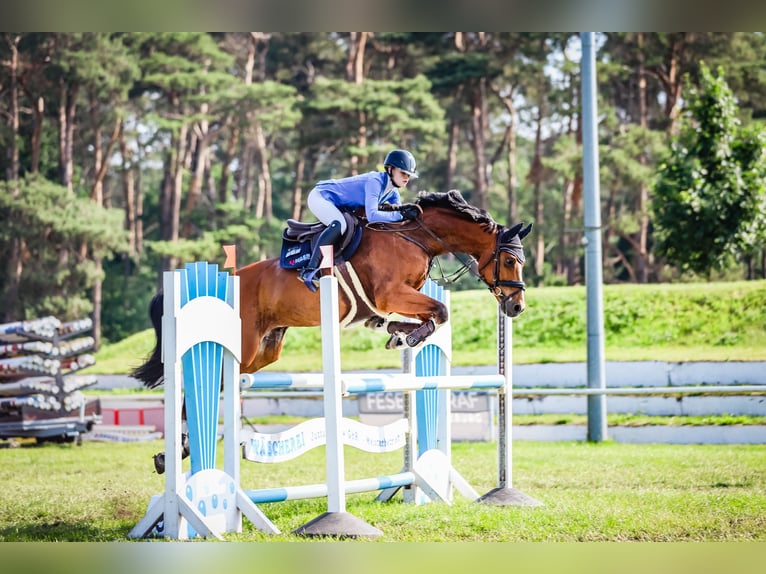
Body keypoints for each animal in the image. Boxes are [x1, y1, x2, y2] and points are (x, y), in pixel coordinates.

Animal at [130, 189, 536, 392]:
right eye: (509, 261)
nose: (516, 307)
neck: (415, 235)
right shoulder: (391, 293)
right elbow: (440, 312)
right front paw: (408, 337)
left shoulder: (396, 299)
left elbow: (423, 316)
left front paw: (396, 333)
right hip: (243, 344)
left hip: (266, 348)